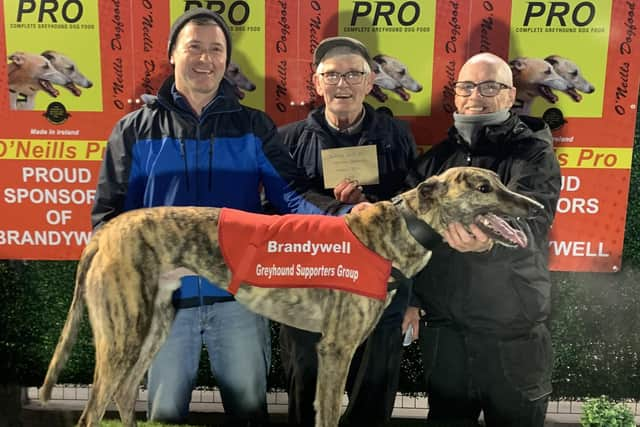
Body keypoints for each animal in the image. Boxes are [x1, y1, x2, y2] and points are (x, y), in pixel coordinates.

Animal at [38, 167, 540, 427]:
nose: (536, 207)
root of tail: (105, 233)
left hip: (153, 326)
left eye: (499, 180)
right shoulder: (335, 349)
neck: (397, 232)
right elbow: (329, 413)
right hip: (123, 334)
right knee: (95, 408)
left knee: (124, 395)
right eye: (482, 187)